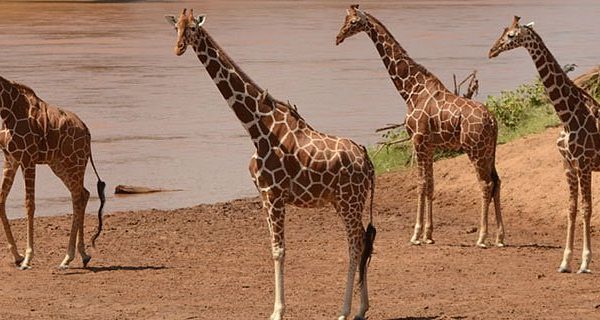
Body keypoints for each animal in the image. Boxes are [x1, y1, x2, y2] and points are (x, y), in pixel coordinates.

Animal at [0, 74, 105, 268]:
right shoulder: (10, 158)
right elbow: (1, 200)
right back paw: (82, 255)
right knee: (83, 194)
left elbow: (30, 205)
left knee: (78, 197)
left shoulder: (28, 158)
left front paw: (27, 258)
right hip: (59, 164)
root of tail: (87, 133)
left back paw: (68, 257)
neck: (6, 109)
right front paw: (17, 256)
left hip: (74, 163)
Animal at [165, 8, 376, 320]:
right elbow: (273, 248)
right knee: (362, 241)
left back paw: (345, 310)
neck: (257, 128)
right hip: (342, 201)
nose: (178, 48)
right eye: (175, 28)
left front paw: (277, 311)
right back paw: (361, 309)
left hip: (351, 200)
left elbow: (279, 250)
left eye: (192, 27)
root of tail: (368, 160)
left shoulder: (275, 194)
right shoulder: (264, 195)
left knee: (355, 245)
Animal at [336, 3, 504, 246]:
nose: (338, 37)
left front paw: (416, 234)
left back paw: (482, 237)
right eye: (345, 20)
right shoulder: (430, 145)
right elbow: (431, 184)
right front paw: (428, 234)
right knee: (497, 182)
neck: (410, 91)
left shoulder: (418, 140)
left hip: (475, 149)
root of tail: (492, 120)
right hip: (490, 150)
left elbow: (421, 184)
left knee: (486, 184)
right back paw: (500, 237)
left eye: (352, 22)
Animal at [488, 16, 600, 272]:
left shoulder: (584, 163)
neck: (568, 116)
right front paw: (565, 262)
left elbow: (586, 208)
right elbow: (571, 208)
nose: (492, 51)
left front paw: (585, 263)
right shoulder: (568, 165)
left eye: (511, 35)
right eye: (502, 31)